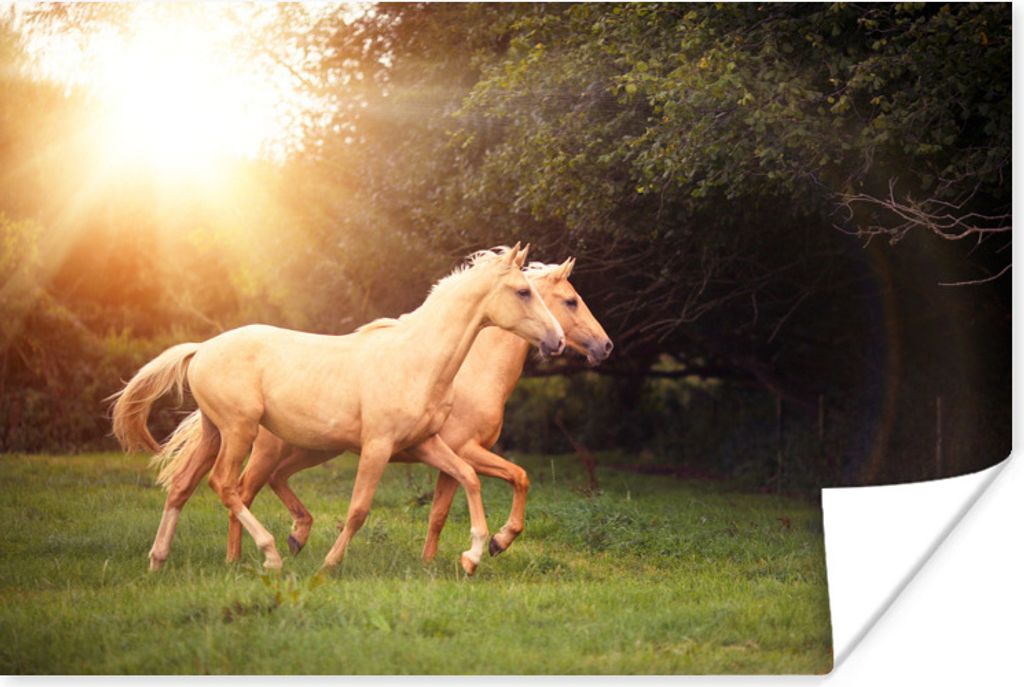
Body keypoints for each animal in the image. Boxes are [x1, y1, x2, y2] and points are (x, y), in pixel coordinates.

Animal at [111, 243, 565, 575]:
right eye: (524, 292)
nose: (557, 340)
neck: (416, 359)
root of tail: (202, 349)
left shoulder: (427, 444)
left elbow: (468, 478)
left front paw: (475, 554)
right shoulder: (378, 446)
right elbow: (359, 509)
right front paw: (330, 563)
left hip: (215, 431)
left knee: (182, 485)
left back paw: (158, 560)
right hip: (240, 432)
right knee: (225, 485)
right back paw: (271, 554)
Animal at [199, 256, 613, 565]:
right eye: (571, 300)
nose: (605, 346)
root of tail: (204, 351)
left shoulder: (445, 451)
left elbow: (459, 503)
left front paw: (455, 557)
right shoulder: (462, 448)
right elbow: (500, 483)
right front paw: (491, 544)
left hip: (312, 448)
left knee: (271, 481)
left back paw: (292, 538)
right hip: (260, 444)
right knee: (240, 489)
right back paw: (246, 557)